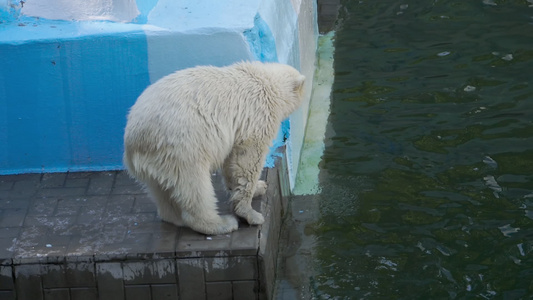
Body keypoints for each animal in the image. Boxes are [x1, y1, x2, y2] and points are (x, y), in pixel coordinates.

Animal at [121, 60, 304, 234]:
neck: (265, 81)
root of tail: (133, 140)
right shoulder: (257, 116)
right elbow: (248, 159)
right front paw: (250, 213)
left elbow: (232, 160)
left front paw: (259, 186)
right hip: (181, 146)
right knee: (195, 186)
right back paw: (221, 223)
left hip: (156, 161)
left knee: (161, 190)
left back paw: (175, 217)